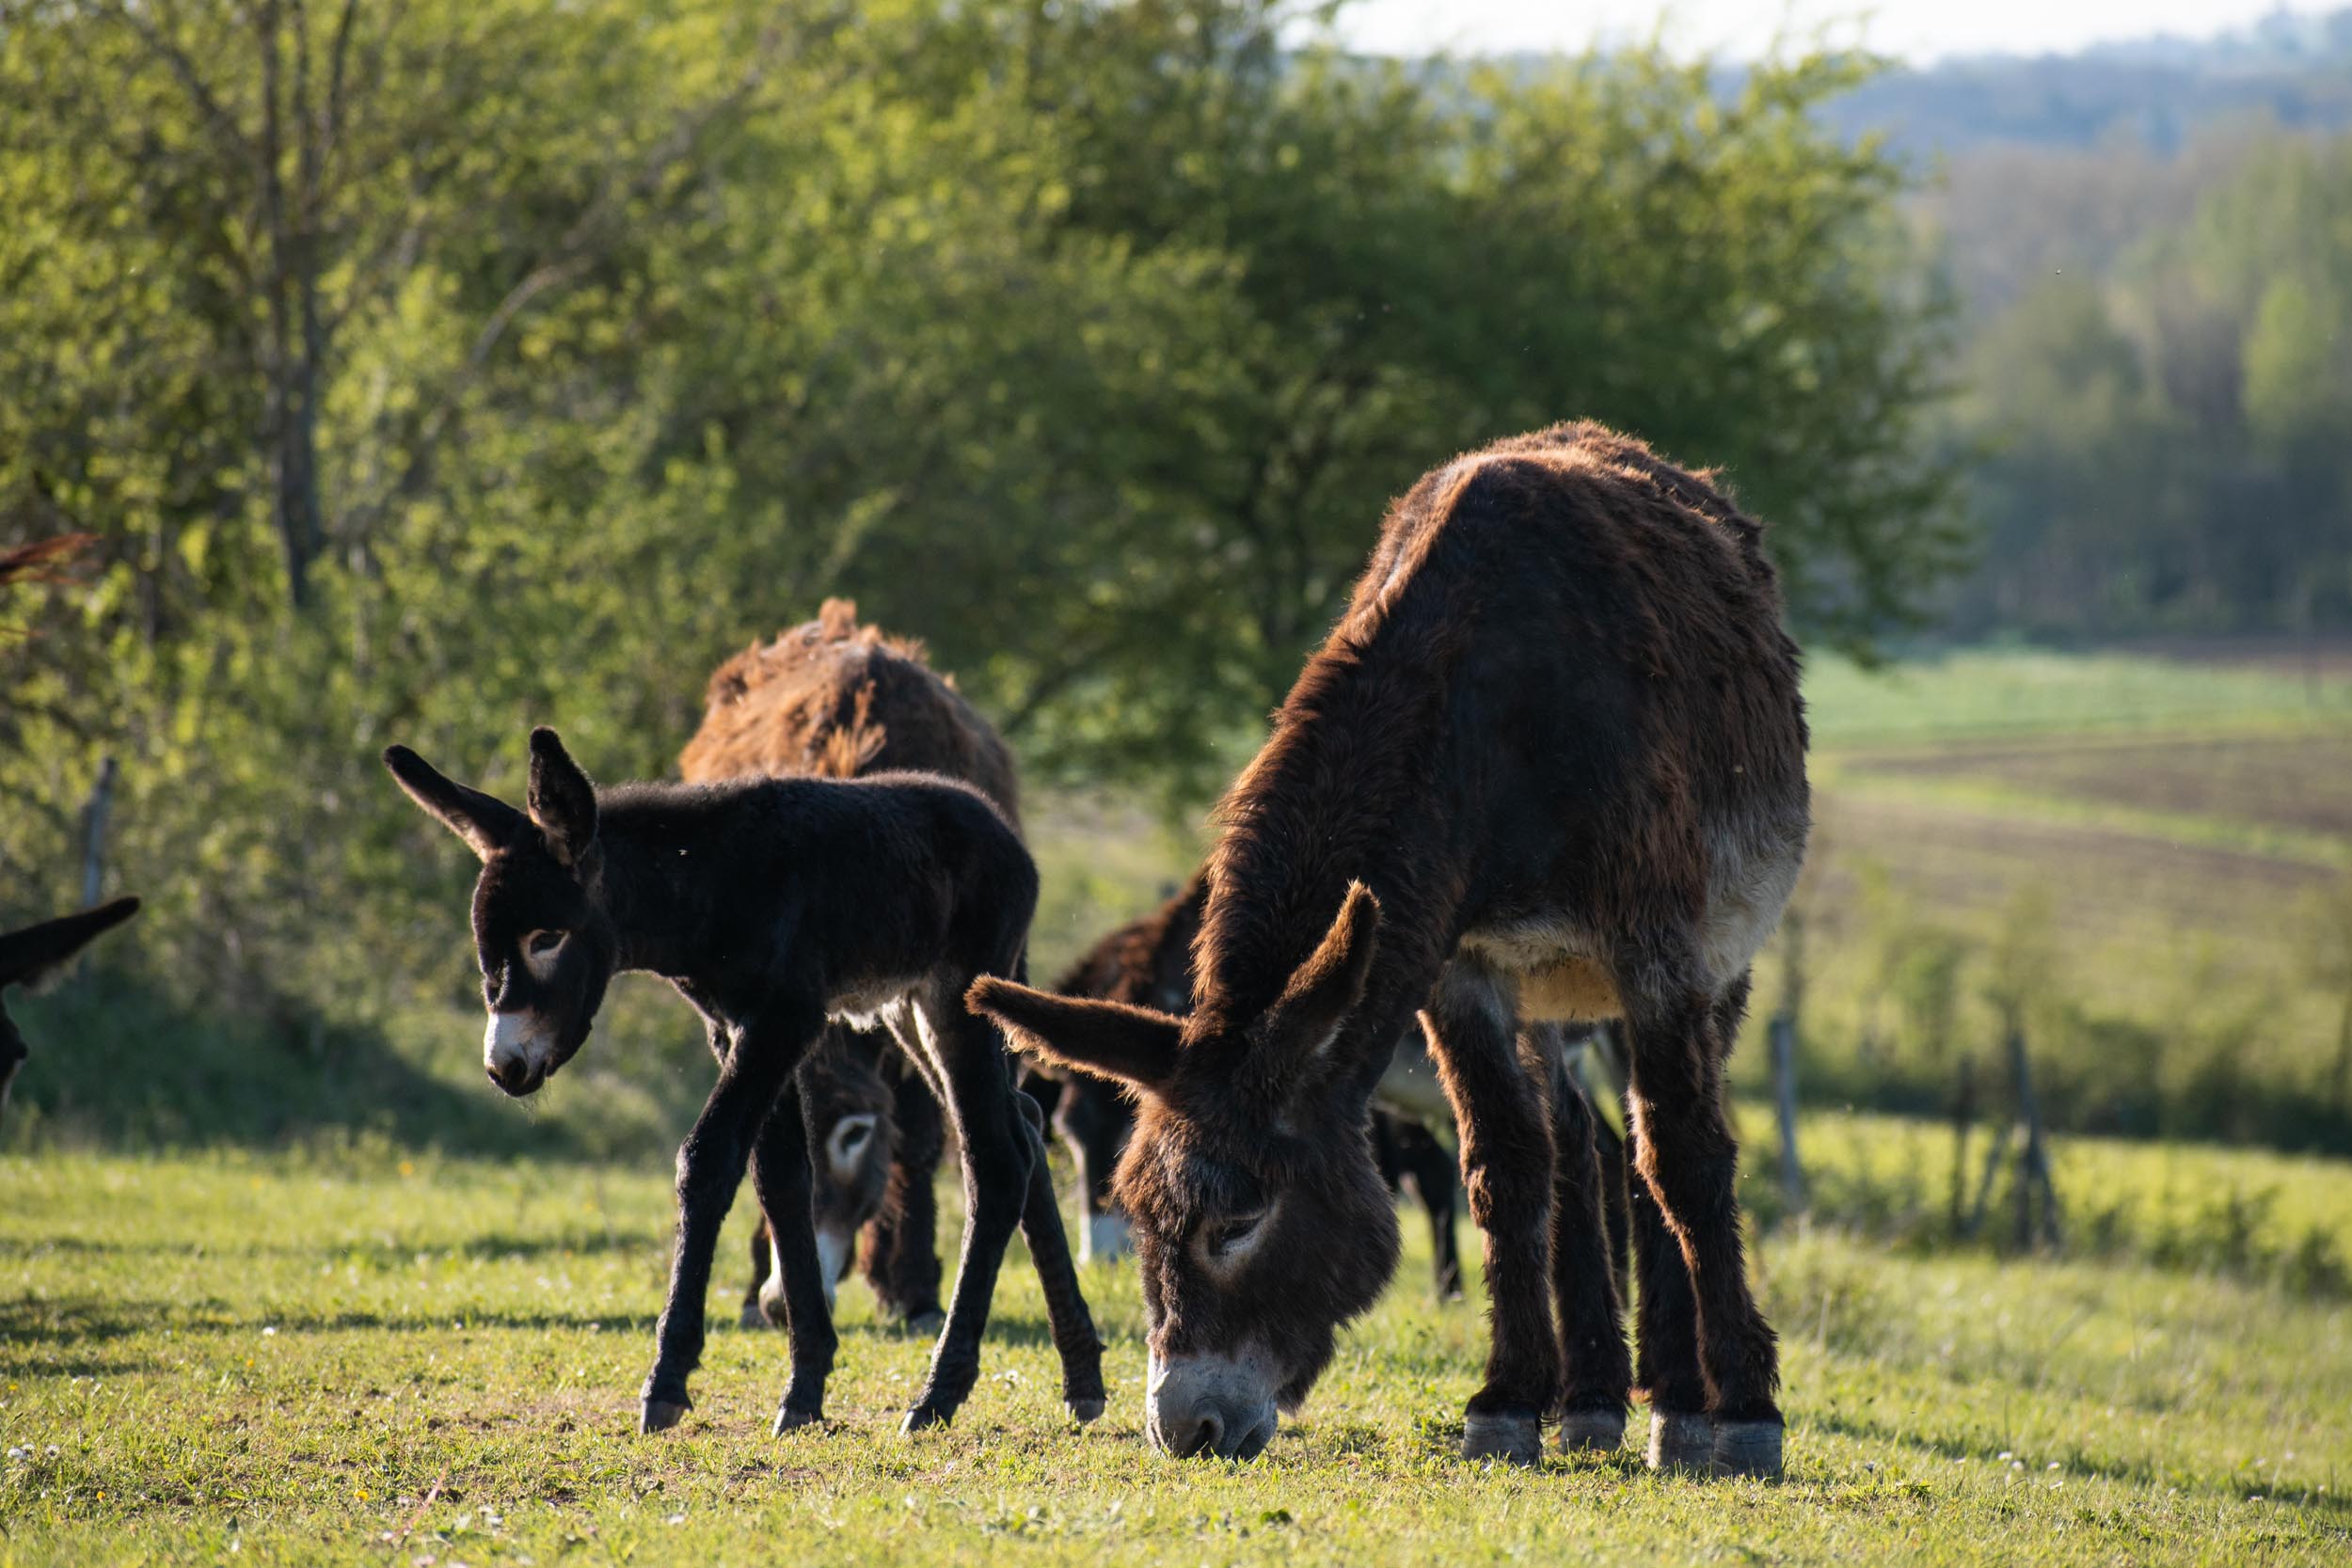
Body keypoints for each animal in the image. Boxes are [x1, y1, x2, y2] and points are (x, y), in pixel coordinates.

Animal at [386, 728, 1101, 1438]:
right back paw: (1082, 1378)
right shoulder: (735, 1031)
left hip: (954, 1003)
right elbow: (780, 1178)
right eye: (486, 947)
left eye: (547, 936)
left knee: (996, 1161)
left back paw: (938, 1395)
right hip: (914, 1010)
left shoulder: (782, 1021)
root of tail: (1005, 833)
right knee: (1025, 1127)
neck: (705, 882)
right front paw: (805, 1387)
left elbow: (707, 1159)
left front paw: (667, 1381)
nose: (504, 1067)